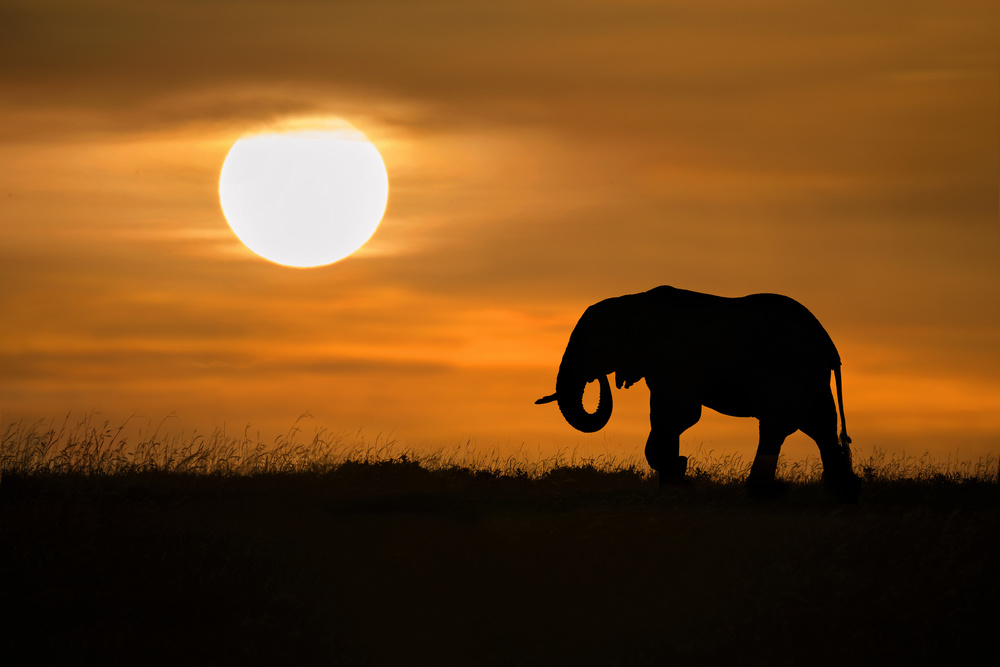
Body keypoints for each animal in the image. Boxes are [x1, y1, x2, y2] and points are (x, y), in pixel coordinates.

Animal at [536, 286, 861, 502]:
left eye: (593, 345)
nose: (599, 377)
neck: (633, 302)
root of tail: (828, 343)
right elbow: (665, 415)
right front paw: (675, 477)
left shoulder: (678, 360)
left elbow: (678, 415)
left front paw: (679, 477)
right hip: (811, 379)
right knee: (820, 427)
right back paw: (840, 492)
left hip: (791, 371)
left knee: (779, 425)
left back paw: (762, 491)